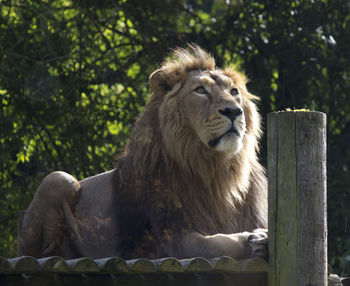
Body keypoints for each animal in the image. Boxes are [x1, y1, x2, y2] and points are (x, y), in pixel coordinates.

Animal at [19, 44, 266, 260]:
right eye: (200, 90)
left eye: (234, 91)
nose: (234, 111)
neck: (217, 172)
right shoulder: (171, 239)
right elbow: (216, 243)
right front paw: (254, 239)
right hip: (58, 179)